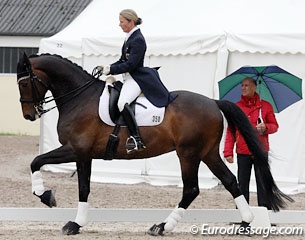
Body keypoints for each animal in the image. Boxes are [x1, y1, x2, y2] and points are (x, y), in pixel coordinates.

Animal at [16, 53, 292, 235]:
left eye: (24, 82)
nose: (29, 115)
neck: (79, 98)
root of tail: (213, 102)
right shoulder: (84, 154)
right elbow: (79, 185)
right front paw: (72, 219)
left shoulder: (77, 150)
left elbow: (39, 163)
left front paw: (50, 200)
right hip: (208, 153)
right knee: (230, 181)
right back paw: (246, 222)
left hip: (188, 153)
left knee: (191, 189)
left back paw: (162, 226)